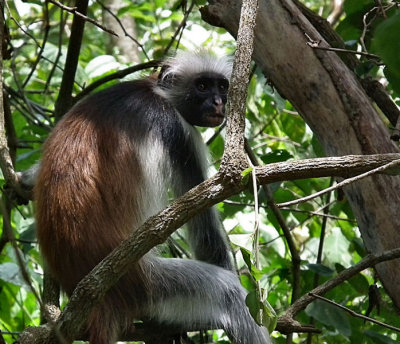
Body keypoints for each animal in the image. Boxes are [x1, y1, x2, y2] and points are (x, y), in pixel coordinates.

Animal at [30, 51, 272, 344]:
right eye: (202, 86)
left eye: (222, 87)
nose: (218, 102)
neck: (155, 92)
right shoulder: (179, 131)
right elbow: (206, 237)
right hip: (146, 283)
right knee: (228, 294)